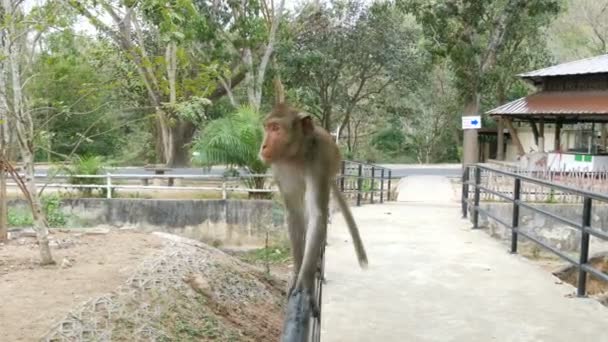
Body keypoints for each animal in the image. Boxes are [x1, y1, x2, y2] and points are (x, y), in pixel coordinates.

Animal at [256, 101, 366, 310]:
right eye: (267, 128)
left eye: (276, 128)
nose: (263, 145)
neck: (297, 154)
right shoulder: (279, 167)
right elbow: (294, 213)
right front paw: (297, 271)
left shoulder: (319, 163)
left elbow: (317, 215)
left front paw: (305, 282)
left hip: (330, 169)